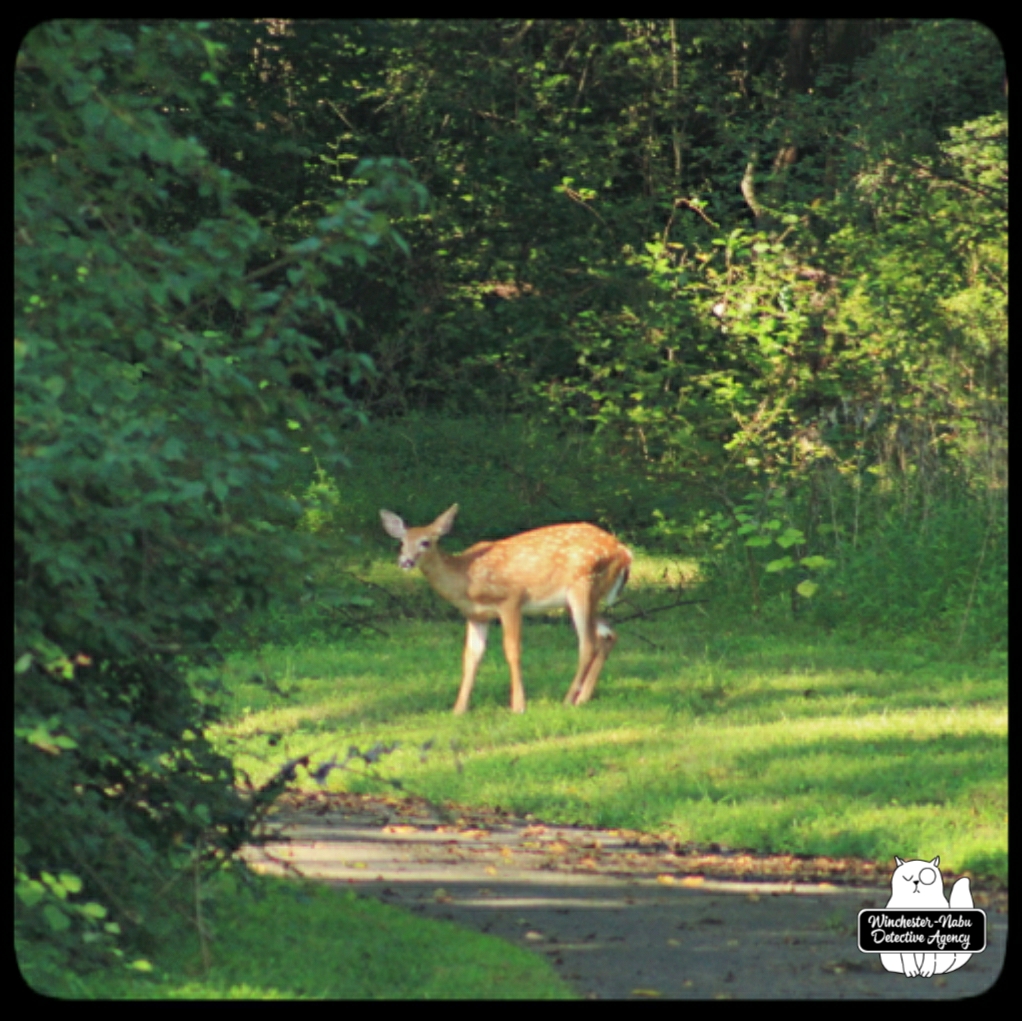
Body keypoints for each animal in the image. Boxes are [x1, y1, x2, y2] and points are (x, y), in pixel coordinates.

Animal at [382, 504, 629, 715]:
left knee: (588, 643)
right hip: (584, 598)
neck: (466, 580)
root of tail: (625, 552)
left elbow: (512, 651)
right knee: (609, 634)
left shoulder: (510, 600)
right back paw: (583, 698)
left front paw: (518, 705)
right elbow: (471, 657)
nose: (405, 562)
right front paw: (458, 709)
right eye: (402, 542)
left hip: (583, 585)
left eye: (425, 542)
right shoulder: (476, 615)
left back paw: (568, 699)